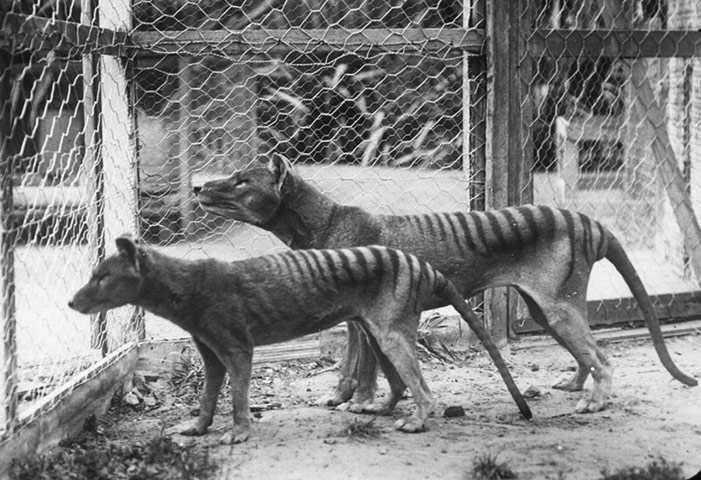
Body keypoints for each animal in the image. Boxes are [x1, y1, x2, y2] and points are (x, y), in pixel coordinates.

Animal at [68, 235, 531, 444]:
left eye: (103, 277)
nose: (72, 301)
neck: (186, 285)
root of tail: (422, 264)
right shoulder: (210, 353)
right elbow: (207, 396)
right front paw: (198, 427)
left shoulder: (237, 347)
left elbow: (237, 397)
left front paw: (238, 432)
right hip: (376, 332)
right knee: (400, 382)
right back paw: (380, 409)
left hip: (390, 333)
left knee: (423, 387)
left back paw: (417, 420)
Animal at [193, 153, 698, 415]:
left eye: (241, 181)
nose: (198, 186)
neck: (324, 222)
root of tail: (590, 222)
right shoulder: (354, 318)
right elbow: (349, 366)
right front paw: (338, 397)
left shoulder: (362, 317)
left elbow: (363, 368)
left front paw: (360, 403)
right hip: (543, 308)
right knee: (586, 352)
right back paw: (577, 386)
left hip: (557, 306)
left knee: (602, 357)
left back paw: (595, 401)